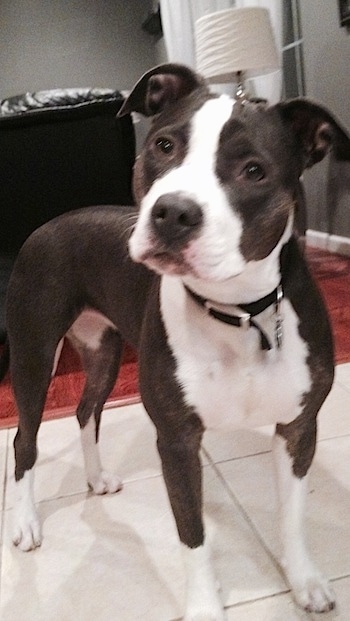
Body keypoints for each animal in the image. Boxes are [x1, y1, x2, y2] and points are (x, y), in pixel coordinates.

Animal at [2, 64, 350, 620]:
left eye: (254, 171)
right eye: (163, 145)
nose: (174, 212)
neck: (239, 312)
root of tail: (50, 223)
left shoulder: (299, 428)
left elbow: (292, 517)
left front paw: (305, 581)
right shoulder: (177, 441)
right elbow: (193, 537)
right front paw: (206, 606)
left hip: (103, 351)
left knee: (85, 410)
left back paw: (96, 477)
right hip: (34, 356)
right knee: (24, 441)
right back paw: (25, 522)